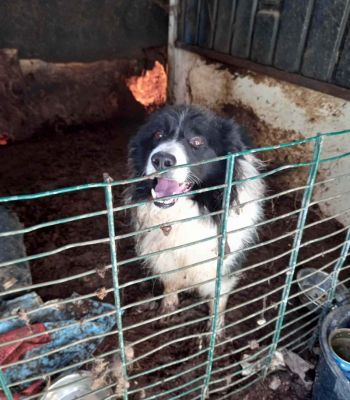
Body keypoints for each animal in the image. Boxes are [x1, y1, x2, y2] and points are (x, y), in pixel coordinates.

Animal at [127, 104, 264, 332]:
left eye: (197, 142)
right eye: (158, 134)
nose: (161, 160)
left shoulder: (224, 261)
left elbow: (219, 298)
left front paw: (215, 330)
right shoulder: (166, 256)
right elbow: (170, 283)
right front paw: (167, 309)